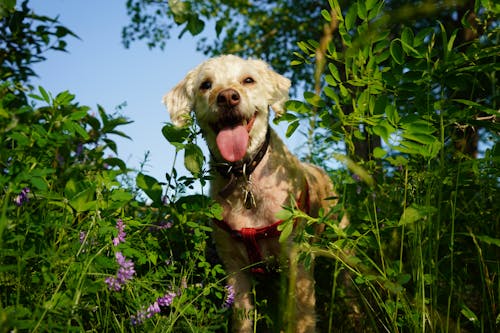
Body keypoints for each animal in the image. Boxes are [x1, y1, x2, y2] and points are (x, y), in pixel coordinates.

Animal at [164, 55, 340, 332]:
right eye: (206, 85)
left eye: (248, 80)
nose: (227, 97)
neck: (244, 173)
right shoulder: (235, 268)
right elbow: (242, 318)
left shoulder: (297, 264)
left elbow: (301, 318)